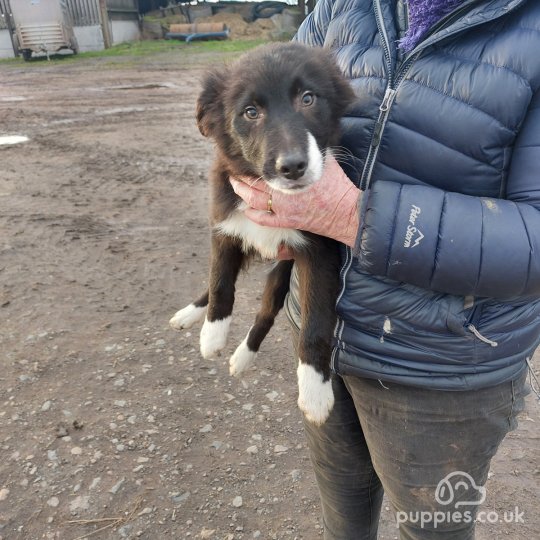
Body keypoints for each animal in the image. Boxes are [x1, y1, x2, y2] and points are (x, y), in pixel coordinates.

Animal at [170, 42, 354, 424]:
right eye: (250, 112)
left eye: (308, 99)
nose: (293, 167)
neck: (273, 194)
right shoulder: (224, 226)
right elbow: (220, 281)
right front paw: (212, 333)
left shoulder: (319, 253)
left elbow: (315, 324)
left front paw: (315, 392)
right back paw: (191, 315)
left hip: (281, 272)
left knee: (267, 310)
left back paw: (242, 357)